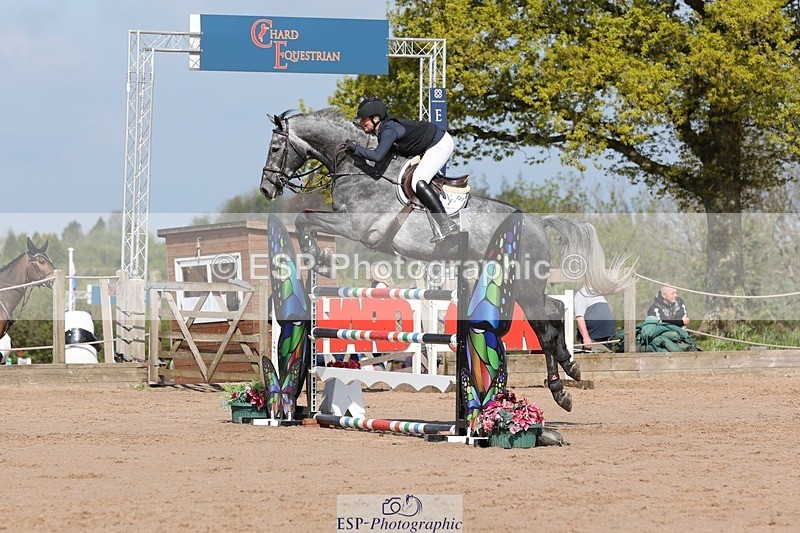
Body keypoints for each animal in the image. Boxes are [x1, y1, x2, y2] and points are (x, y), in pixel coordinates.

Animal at [258, 108, 634, 411]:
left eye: (275, 148)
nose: (266, 189)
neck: (360, 168)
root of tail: (536, 222)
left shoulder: (357, 227)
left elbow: (305, 220)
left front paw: (319, 256)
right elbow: (306, 221)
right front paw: (318, 257)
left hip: (524, 285)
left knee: (544, 328)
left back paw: (562, 388)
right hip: (521, 284)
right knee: (554, 311)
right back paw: (569, 369)